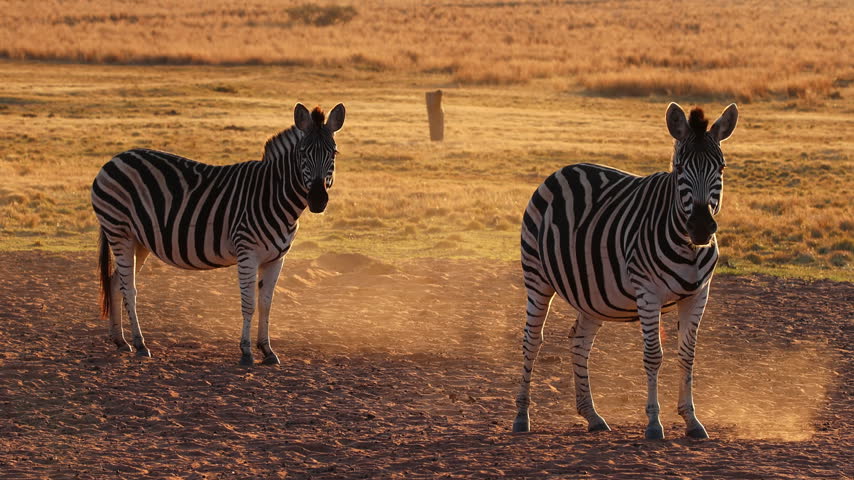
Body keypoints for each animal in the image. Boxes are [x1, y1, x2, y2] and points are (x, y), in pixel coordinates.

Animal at [91, 103, 345, 365]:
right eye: (303, 153)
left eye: (334, 153)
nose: (318, 200)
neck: (273, 195)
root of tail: (115, 158)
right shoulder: (247, 253)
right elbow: (249, 304)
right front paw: (246, 352)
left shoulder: (276, 258)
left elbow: (266, 304)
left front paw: (267, 350)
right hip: (119, 232)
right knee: (128, 288)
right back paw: (140, 344)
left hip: (139, 241)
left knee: (115, 282)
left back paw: (121, 341)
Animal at [512, 102, 738, 440]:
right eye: (680, 169)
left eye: (721, 168)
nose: (700, 227)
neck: (687, 247)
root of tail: (565, 169)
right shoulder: (648, 292)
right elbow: (654, 356)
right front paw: (654, 424)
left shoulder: (698, 295)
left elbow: (687, 355)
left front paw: (691, 420)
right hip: (537, 278)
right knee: (532, 341)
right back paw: (522, 417)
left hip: (592, 294)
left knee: (579, 342)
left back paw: (592, 416)